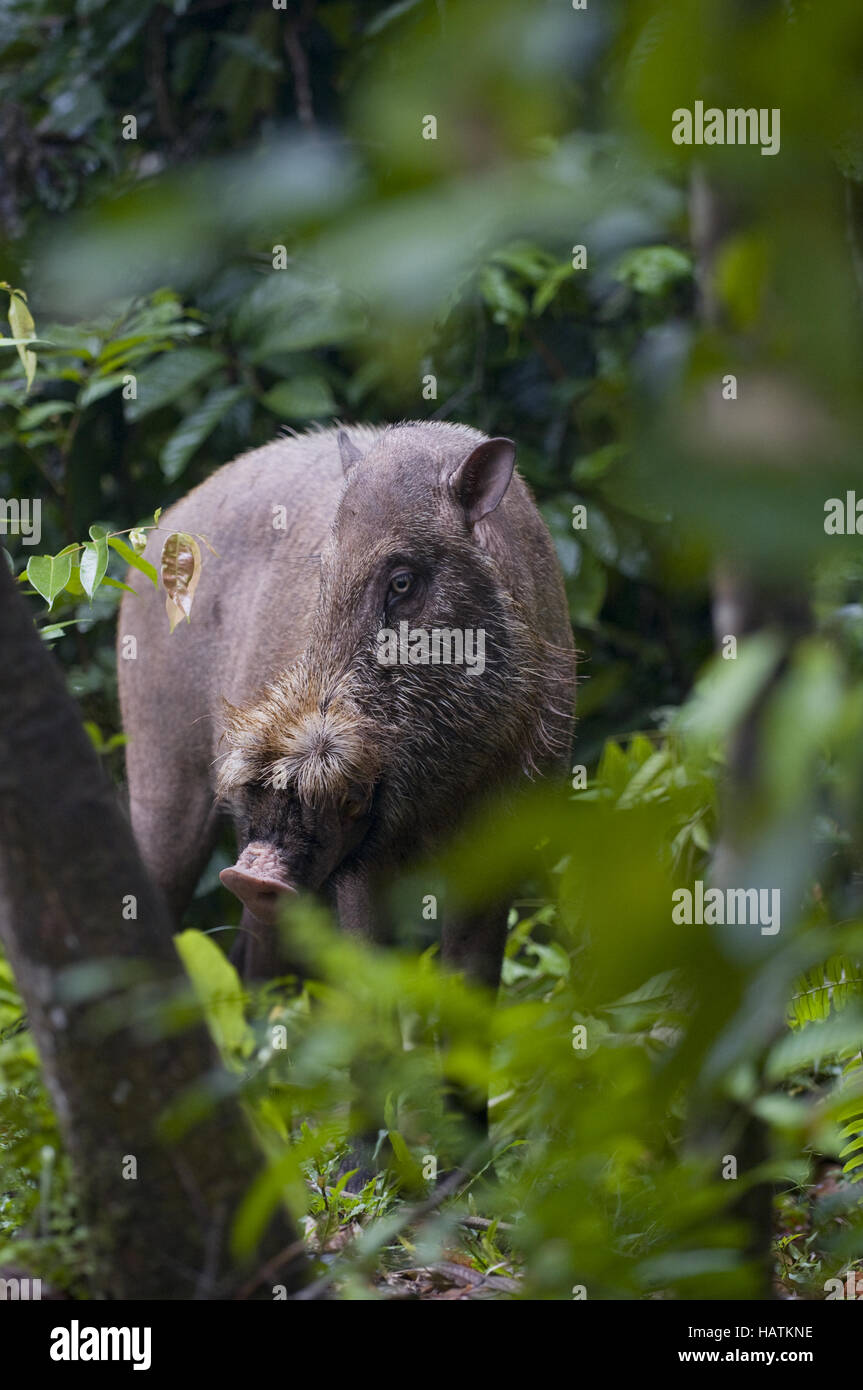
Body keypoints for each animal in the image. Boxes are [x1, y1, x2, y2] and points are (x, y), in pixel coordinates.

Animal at [118, 421, 576, 1171]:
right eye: (321, 579)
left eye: (402, 580)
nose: (256, 871)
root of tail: (156, 533)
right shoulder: (363, 861)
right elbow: (367, 993)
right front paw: (365, 1171)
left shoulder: (499, 840)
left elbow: (471, 986)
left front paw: (467, 1171)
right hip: (161, 776)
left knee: (254, 963)